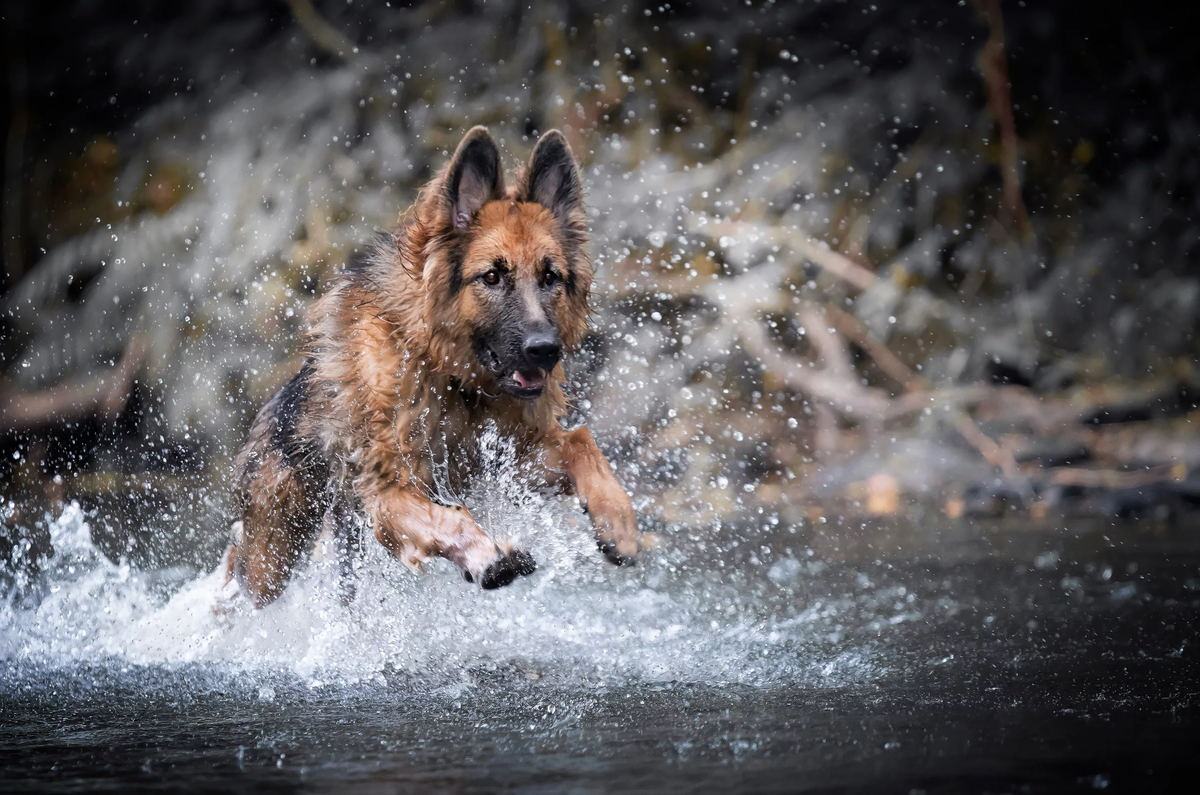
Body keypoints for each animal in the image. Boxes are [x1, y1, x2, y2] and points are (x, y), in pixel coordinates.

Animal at [222, 127, 643, 607]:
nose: (545, 350)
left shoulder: (511, 463)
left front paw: (618, 522)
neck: (449, 375)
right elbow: (452, 520)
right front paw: (488, 556)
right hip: (270, 558)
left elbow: (581, 442)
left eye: (550, 277)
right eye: (492, 277)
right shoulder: (389, 493)